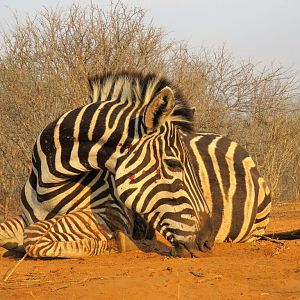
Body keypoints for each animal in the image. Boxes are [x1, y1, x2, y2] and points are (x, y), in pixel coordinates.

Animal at [0, 72, 213, 258]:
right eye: (173, 164)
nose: (207, 241)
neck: (48, 186)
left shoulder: (111, 215)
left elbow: (33, 236)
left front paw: (118, 243)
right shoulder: (24, 217)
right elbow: (11, 231)